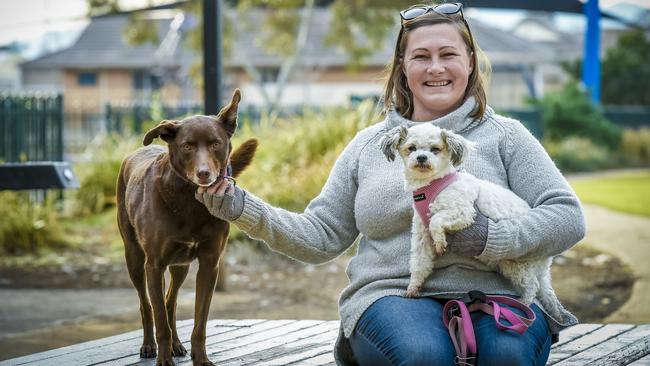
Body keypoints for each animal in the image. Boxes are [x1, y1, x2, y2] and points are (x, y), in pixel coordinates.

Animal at [116, 89, 256, 366]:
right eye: (187, 146)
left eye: (215, 144)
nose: (204, 174)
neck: (191, 201)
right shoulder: (154, 265)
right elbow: (159, 320)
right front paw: (163, 359)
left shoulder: (209, 264)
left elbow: (199, 322)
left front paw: (200, 358)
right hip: (135, 259)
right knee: (147, 305)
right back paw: (149, 346)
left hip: (180, 265)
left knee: (170, 301)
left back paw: (177, 345)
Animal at [378, 123, 560, 314]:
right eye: (411, 148)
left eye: (435, 149)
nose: (421, 157)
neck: (431, 185)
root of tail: (546, 262)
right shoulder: (422, 237)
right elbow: (419, 263)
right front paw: (413, 288)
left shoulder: (463, 212)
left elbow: (436, 220)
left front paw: (440, 242)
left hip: (517, 264)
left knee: (533, 285)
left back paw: (524, 302)